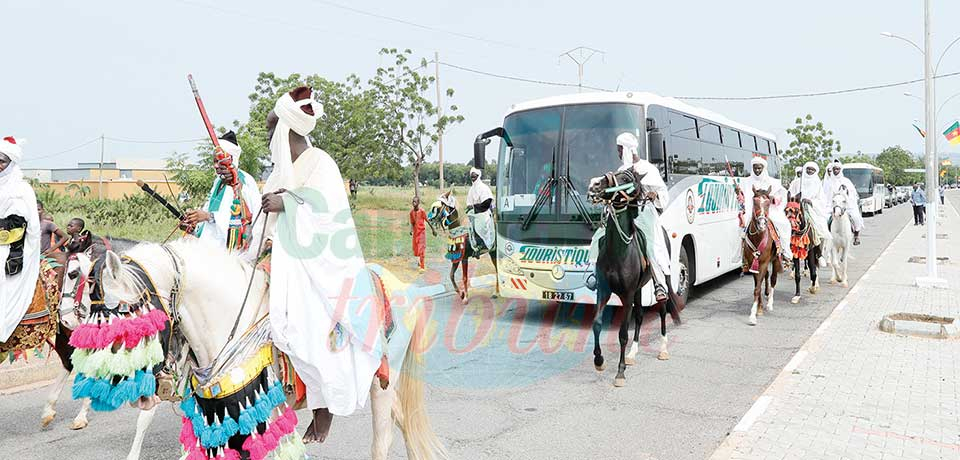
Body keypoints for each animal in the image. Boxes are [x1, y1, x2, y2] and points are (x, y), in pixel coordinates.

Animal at [95, 237, 444, 460]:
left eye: (126, 310)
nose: (118, 382)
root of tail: (402, 287)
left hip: (382, 382)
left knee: (382, 441)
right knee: (405, 420)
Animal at [584, 167, 684, 386]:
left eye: (625, 179)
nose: (594, 184)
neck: (618, 251)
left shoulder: (627, 294)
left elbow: (622, 333)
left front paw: (620, 372)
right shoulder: (604, 291)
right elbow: (596, 324)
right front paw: (599, 360)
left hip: (659, 281)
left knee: (662, 310)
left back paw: (663, 349)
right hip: (639, 289)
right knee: (639, 316)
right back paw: (632, 354)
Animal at [744, 185, 780, 326]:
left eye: (769, 203)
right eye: (755, 202)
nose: (762, 224)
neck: (758, 237)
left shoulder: (764, 262)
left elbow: (757, 287)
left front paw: (752, 315)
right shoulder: (752, 263)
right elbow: (757, 286)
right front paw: (758, 309)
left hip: (775, 260)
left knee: (773, 278)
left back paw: (770, 303)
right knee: (766, 276)